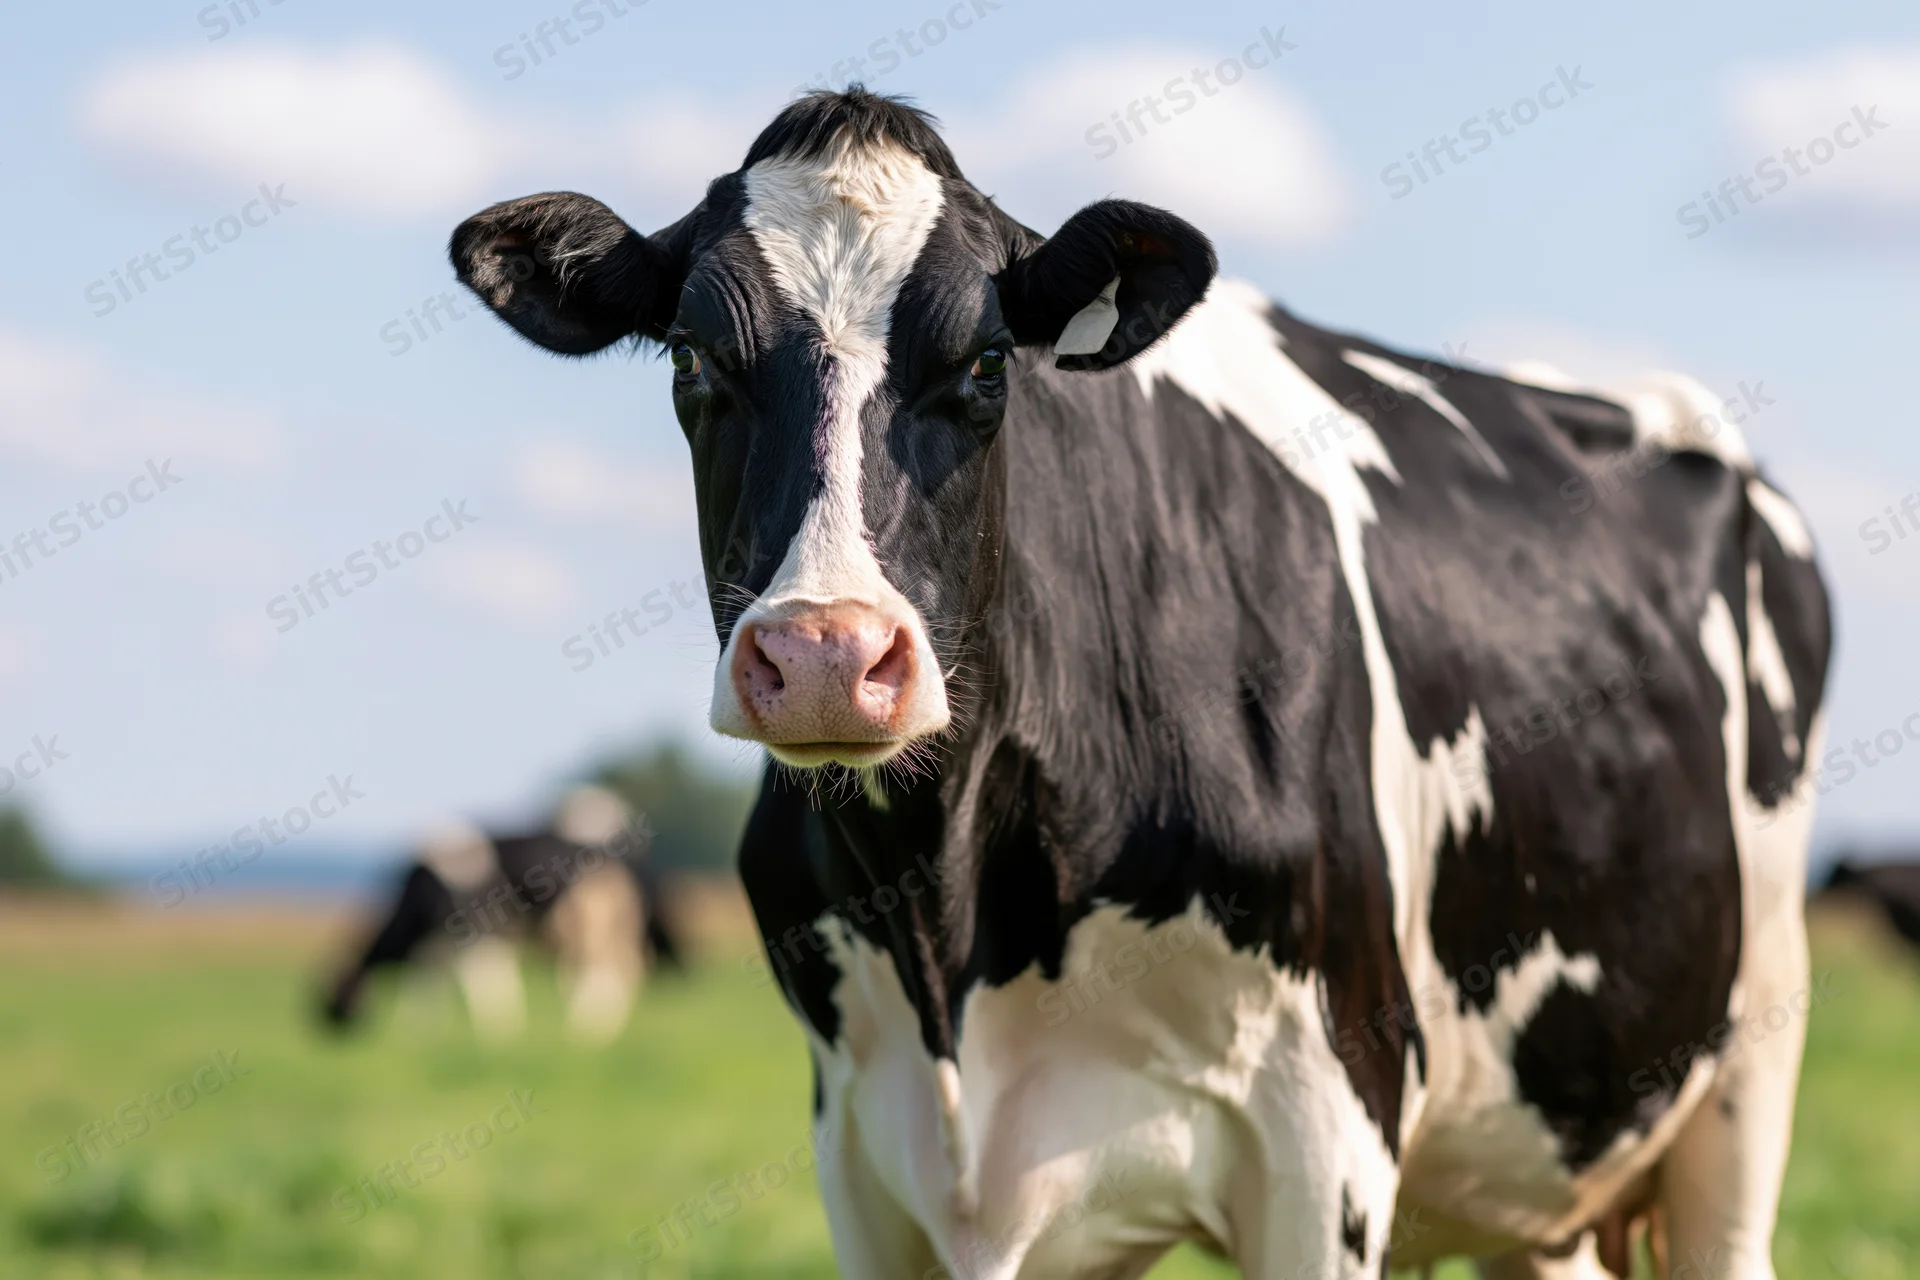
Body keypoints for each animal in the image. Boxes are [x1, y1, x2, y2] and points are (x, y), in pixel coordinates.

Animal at [322, 785, 681, 1042]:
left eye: (331, 999)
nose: (330, 1036)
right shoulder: (454, 938)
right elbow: (442, 978)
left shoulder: (469, 928)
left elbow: (474, 978)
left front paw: (495, 1031)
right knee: (612, 970)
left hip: (593, 927)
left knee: (610, 971)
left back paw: (585, 1030)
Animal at [449, 90, 1832, 1280]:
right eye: (691, 359)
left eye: (988, 363)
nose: (831, 656)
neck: (952, 920)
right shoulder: (865, 1149)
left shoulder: (1330, 1121)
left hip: (1749, 1055)